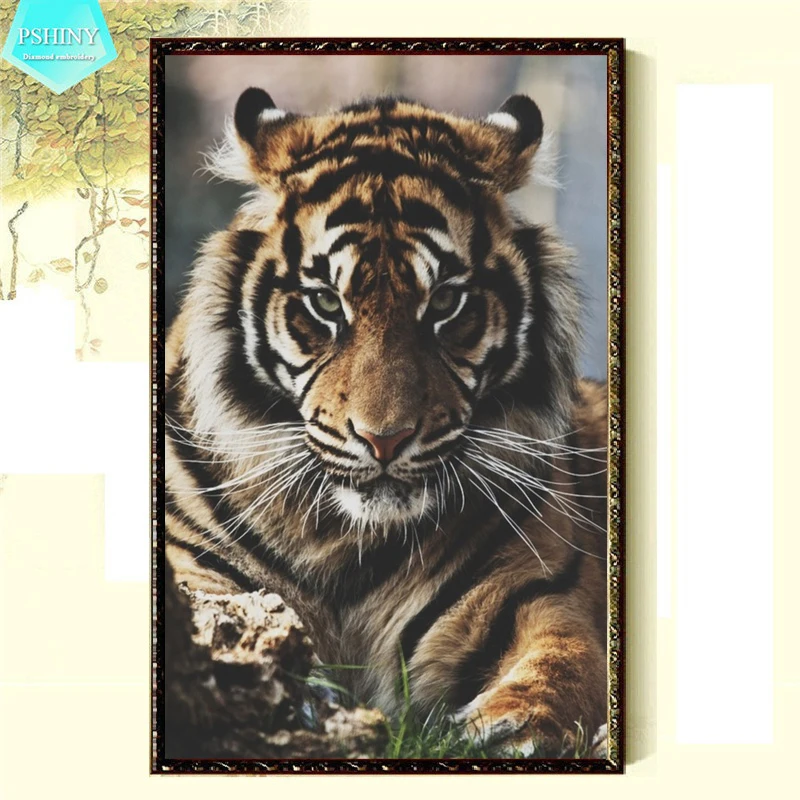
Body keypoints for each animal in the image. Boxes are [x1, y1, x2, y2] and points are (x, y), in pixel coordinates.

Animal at [164, 86, 609, 758]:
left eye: (446, 302)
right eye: (326, 303)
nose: (384, 439)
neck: (344, 541)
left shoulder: (541, 591)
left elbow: (564, 662)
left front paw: (508, 730)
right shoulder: (190, 563)